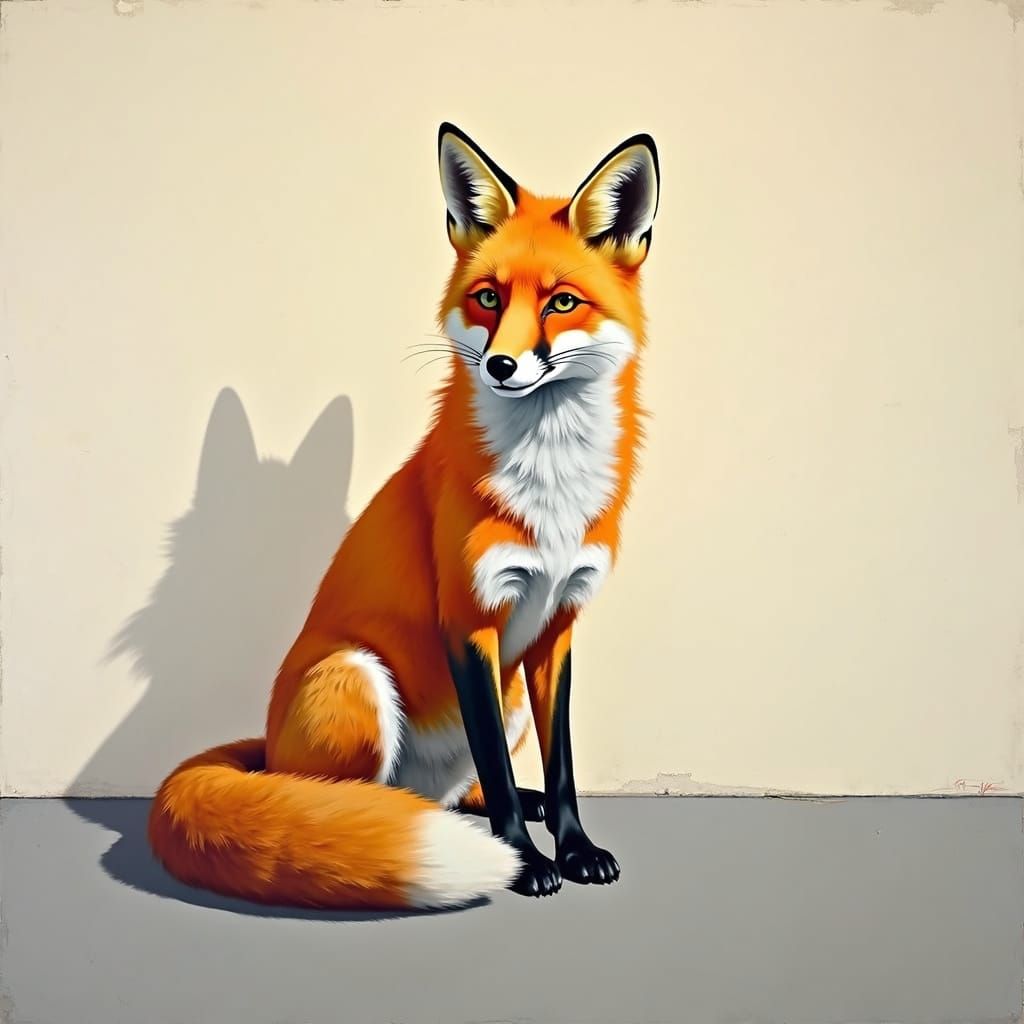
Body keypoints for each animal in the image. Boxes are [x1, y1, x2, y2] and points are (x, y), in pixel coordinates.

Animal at [148, 122, 660, 909]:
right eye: (487, 297)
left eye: (562, 303)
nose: (502, 366)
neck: (549, 485)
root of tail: (265, 754)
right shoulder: (470, 621)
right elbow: (502, 778)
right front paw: (526, 861)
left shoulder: (558, 628)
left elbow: (563, 766)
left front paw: (573, 847)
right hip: (357, 677)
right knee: (346, 805)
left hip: (505, 695)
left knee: (457, 790)